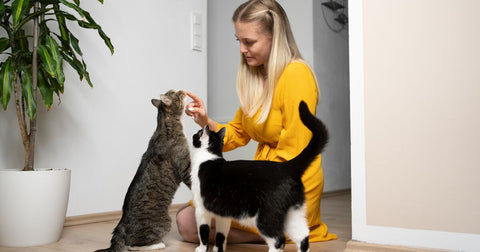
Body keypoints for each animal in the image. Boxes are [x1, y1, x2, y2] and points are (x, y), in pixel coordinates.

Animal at [95, 89, 191, 251]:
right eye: (175, 93)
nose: (182, 90)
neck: (166, 125)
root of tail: (121, 224)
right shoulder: (185, 166)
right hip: (165, 222)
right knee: (133, 245)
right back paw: (158, 244)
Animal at [189, 101, 328, 252]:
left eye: (198, 133)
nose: (195, 132)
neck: (208, 157)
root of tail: (286, 167)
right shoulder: (223, 214)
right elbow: (221, 235)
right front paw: (218, 249)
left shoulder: (201, 209)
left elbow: (203, 231)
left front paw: (201, 249)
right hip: (293, 213)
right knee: (303, 236)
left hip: (266, 216)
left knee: (278, 239)